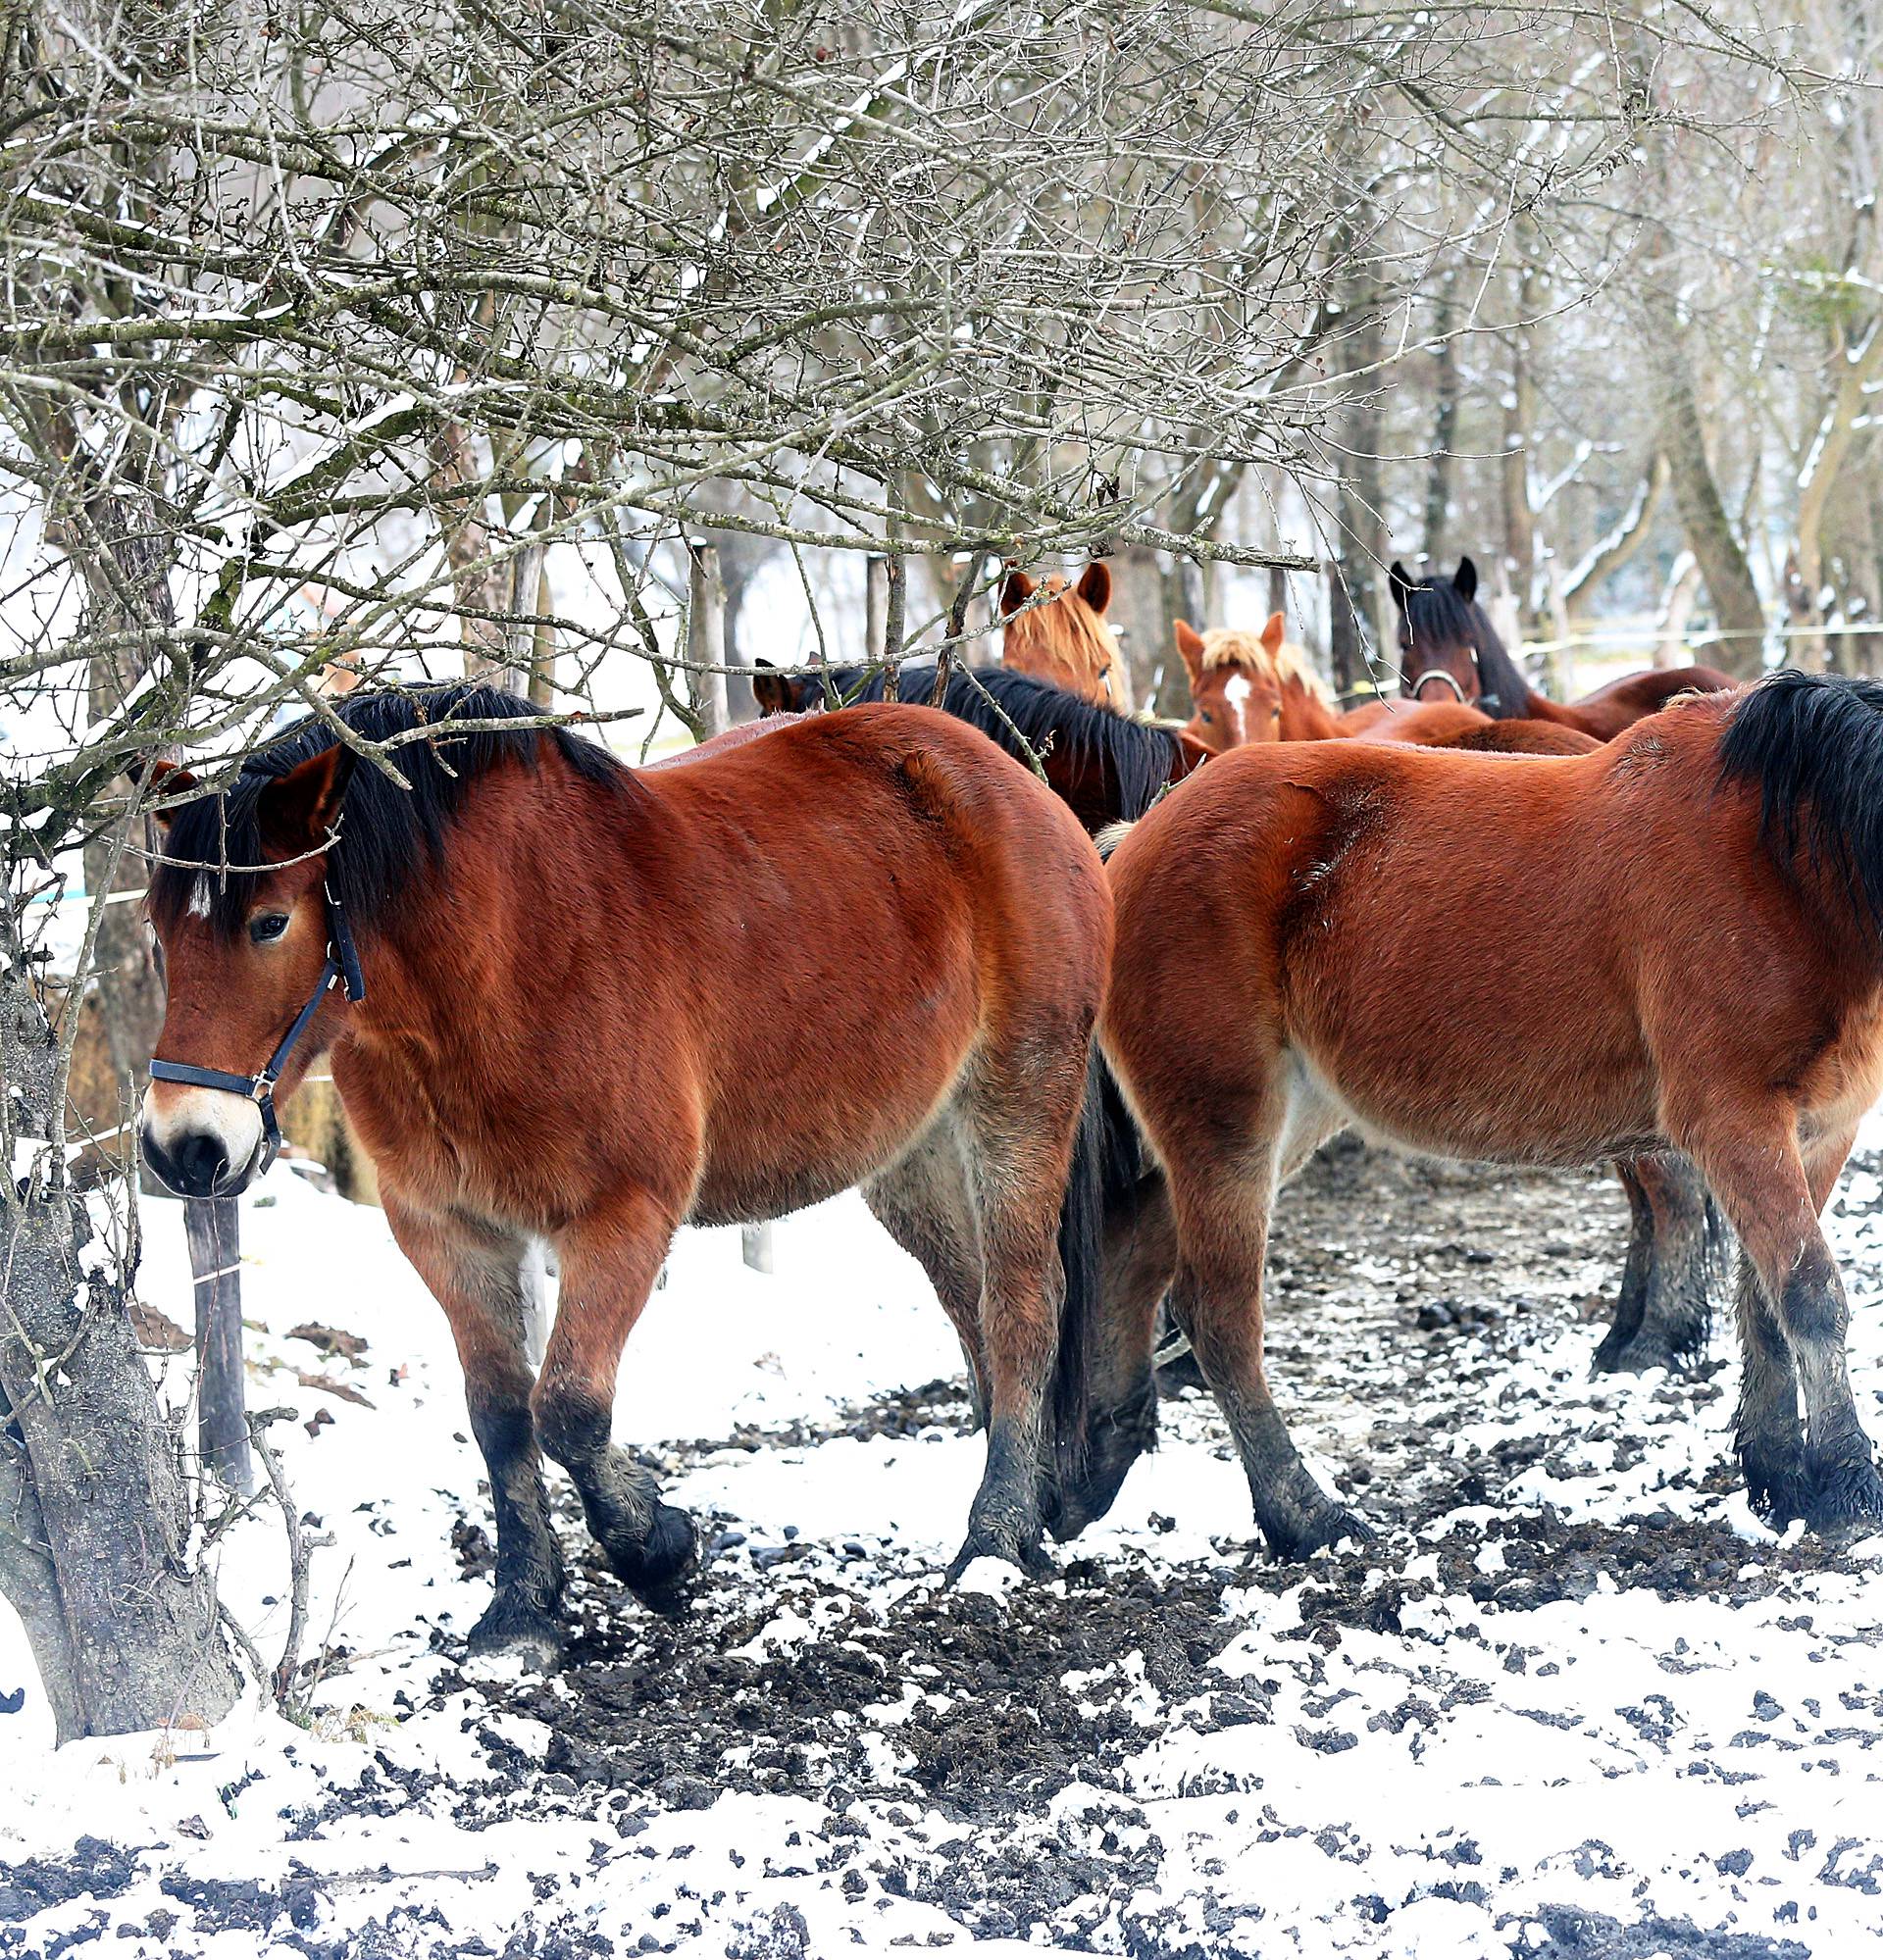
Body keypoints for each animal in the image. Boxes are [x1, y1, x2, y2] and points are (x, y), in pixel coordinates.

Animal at [147, 681, 1114, 1662]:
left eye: (271, 921)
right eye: (157, 932)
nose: (184, 1146)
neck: (498, 954)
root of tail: (1013, 783)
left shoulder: (622, 1216)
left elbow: (568, 1406)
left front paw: (658, 1546)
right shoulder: (446, 1229)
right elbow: (501, 1416)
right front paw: (523, 1611)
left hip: (1015, 1100)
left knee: (1021, 1304)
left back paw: (994, 1540)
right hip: (910, 1152)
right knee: (970, 1302)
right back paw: (1028, 1511)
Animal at [1083, 678, 1883, 1560]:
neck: (1786, 858)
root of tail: (1134, 840)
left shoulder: (1819, 1130)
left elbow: (1766, 1301)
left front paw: (1779, 1478)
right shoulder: (1734, 1122)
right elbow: (1810, 1292)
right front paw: (1846, 1484)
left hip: (1268, 1126)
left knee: (1130, 1265)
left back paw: (1086, 1476)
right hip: (1225, 1130)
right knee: (1217, 1314)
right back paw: (1305, 1516)